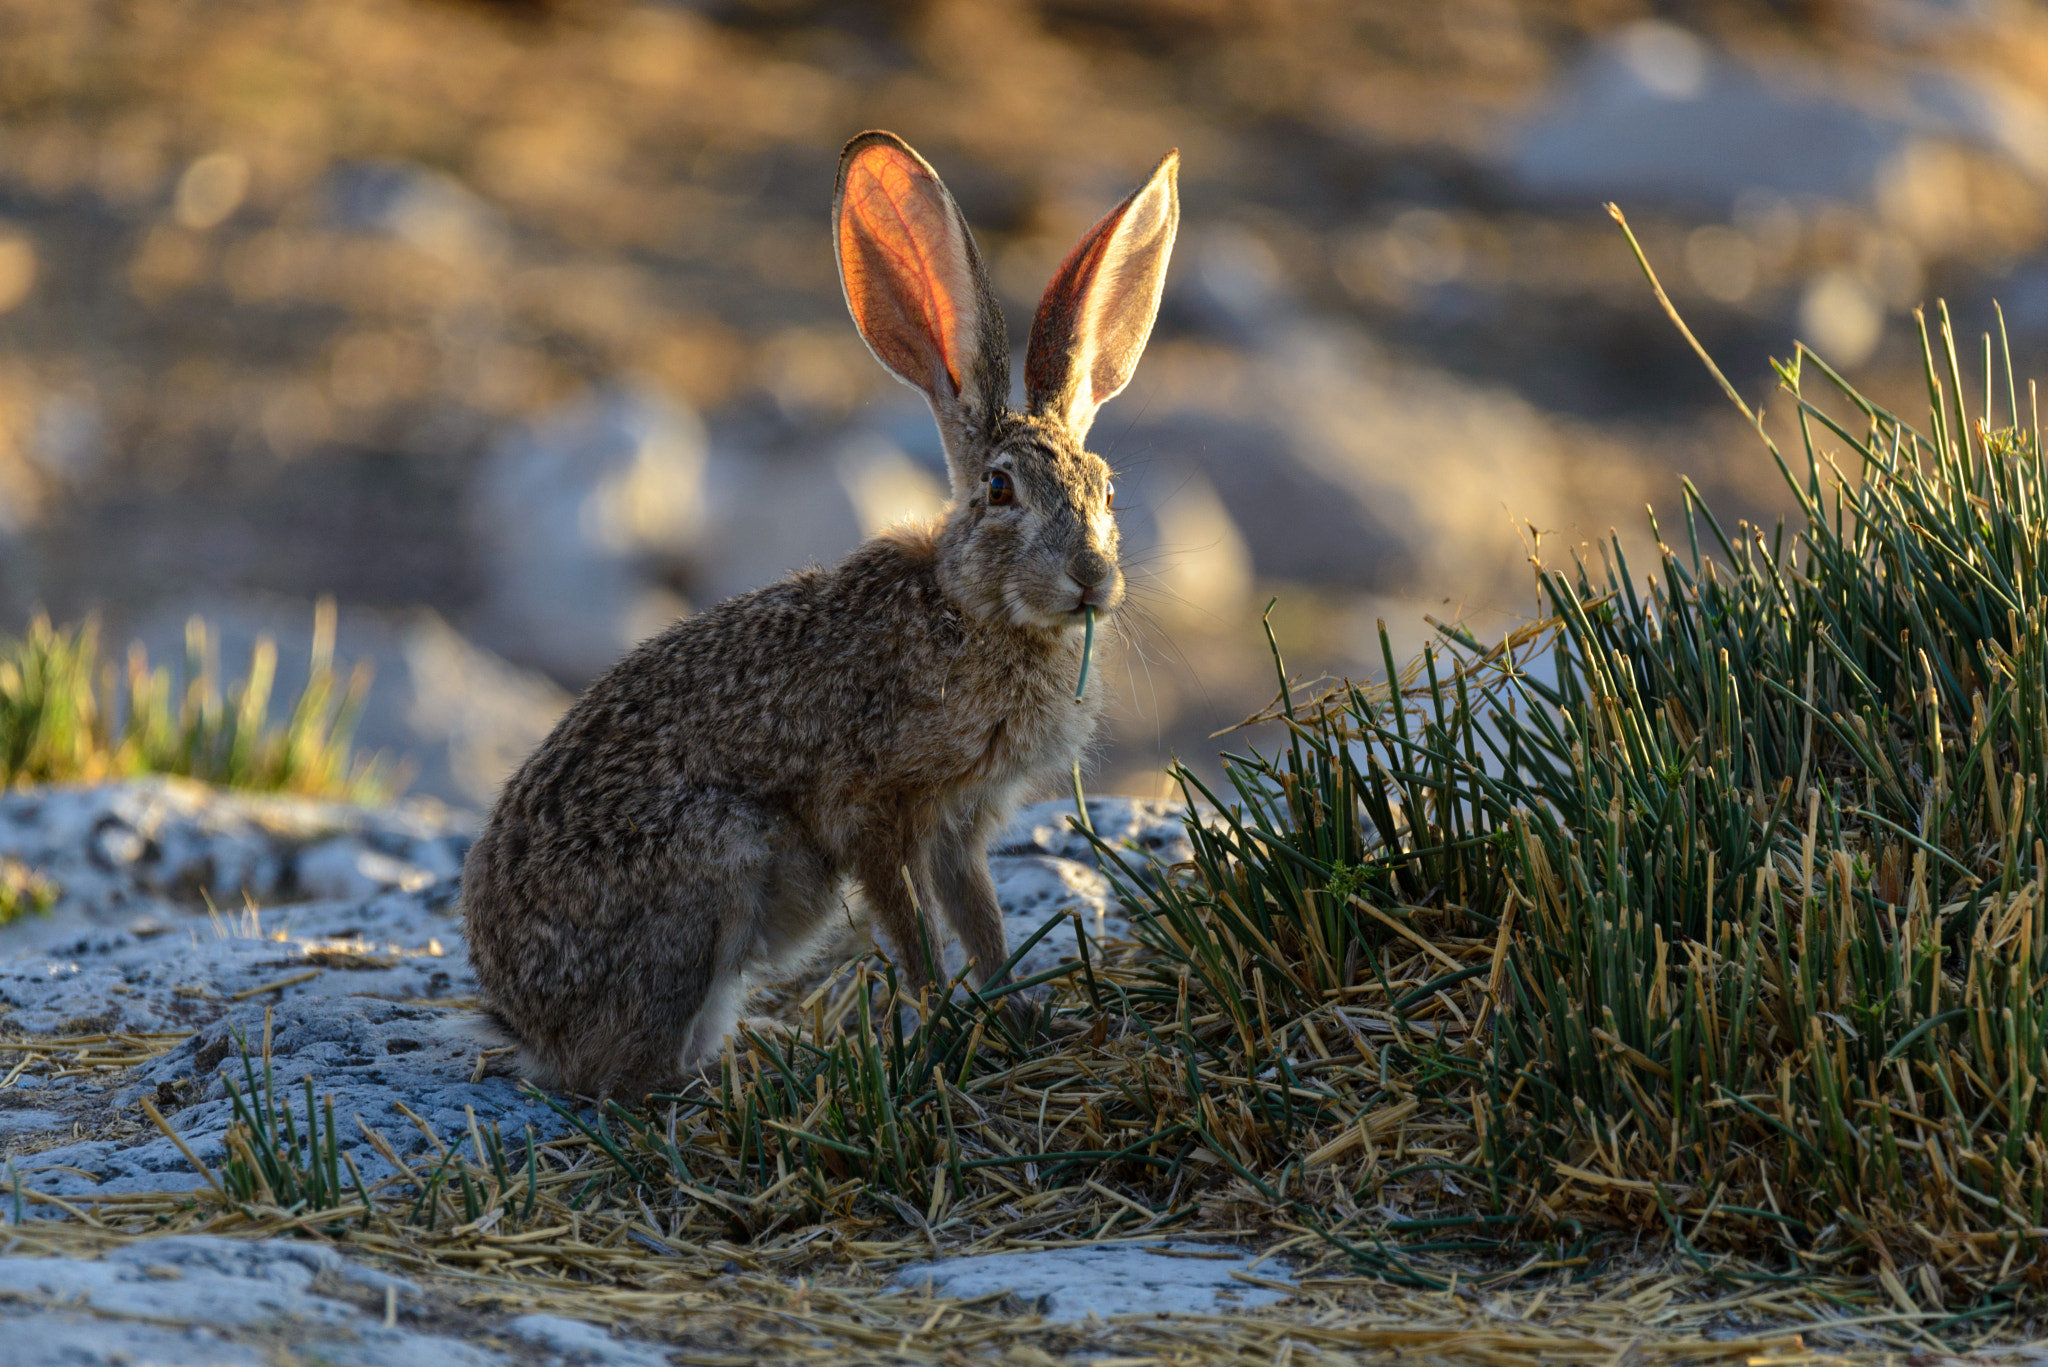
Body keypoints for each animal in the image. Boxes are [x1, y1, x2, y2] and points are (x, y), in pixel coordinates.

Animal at [458, 131, 1180, 1099]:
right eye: (1000, 490)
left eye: (1106, 490)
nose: (1092, 580)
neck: (969, 611)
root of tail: (523, 1013)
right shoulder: (867, 805)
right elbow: (911, 927)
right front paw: (945, 1020)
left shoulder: (963, 824)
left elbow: (979, 918)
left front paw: (1020, 1016)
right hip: (719, 862)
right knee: (626, 1072)